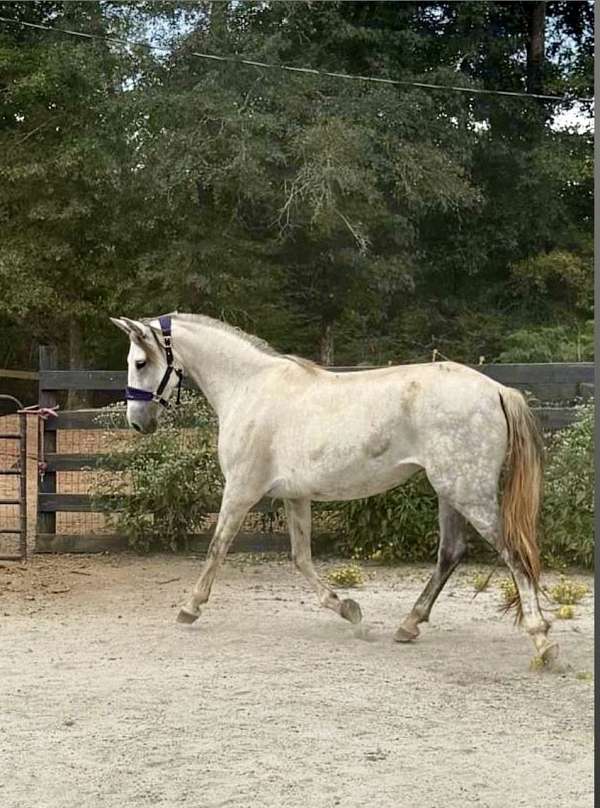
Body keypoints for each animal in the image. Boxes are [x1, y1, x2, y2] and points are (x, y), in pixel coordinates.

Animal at [111, 312, 557, 667]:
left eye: (139, 362)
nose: (137, 422)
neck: (249, 388)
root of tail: (497, 390)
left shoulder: (240, 490)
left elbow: (217, 548)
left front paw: (190, 608)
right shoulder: (295, 496)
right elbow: (301, 559)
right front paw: (348, 609)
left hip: (468, 493)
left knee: (513, 552)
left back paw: (541, 641)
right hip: (450, 491)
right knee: (451, 554)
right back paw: (408, 626)